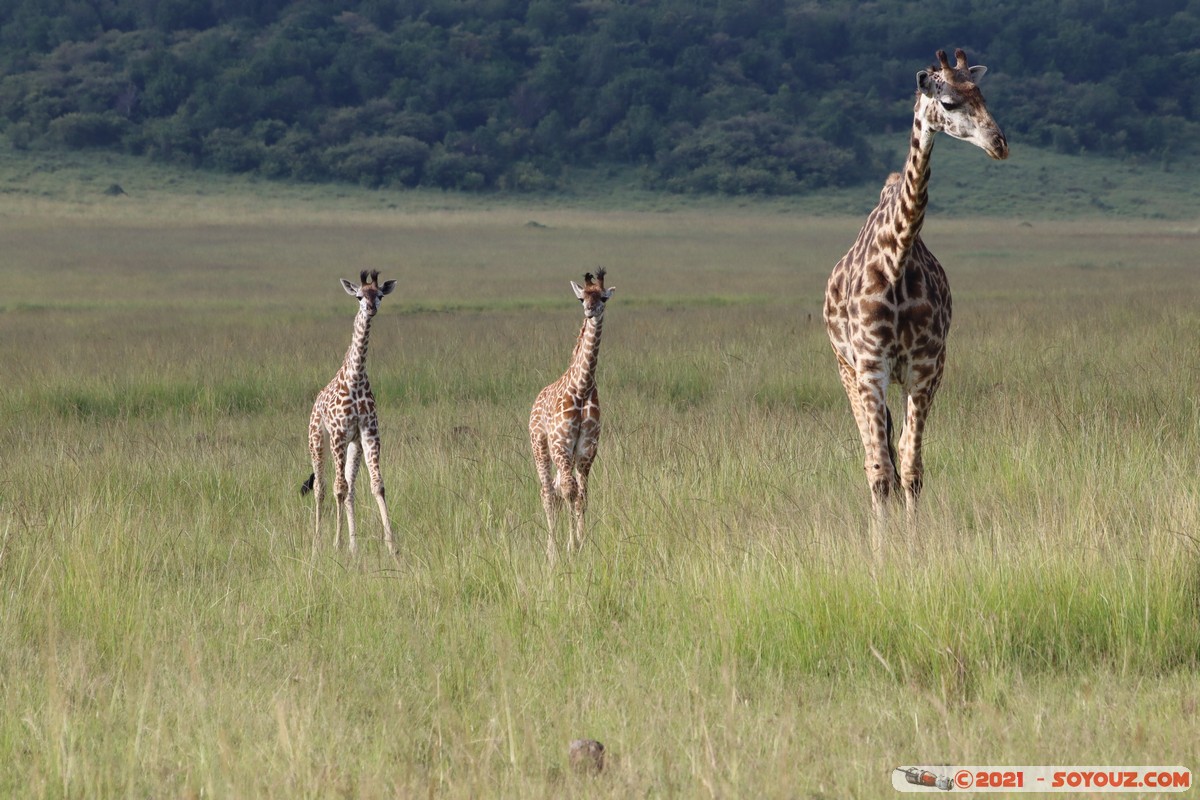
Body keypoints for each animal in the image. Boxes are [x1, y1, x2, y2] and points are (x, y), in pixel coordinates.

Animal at [301, 269, 397, 554]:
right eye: (358, 296)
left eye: (379, 295)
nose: (370, 308)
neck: (355, 378)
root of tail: (315, 403)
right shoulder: (338, 435)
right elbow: (338, 489)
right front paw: (336, 542)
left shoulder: (368, 433)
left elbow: (377, 485)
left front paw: (392, 546)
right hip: (318, 441)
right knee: (322, 487)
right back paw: (318, 540)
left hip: (353, 445)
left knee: (351, 487)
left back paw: (354, 545)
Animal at [529, 269, 615, 561]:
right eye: (581, 298)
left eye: (603, 297)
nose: (590, 310)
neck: (582, 387)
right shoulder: (562, 445)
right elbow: (569, 491)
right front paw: (571, 547)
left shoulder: (587, 449)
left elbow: (582, 495)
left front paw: (582, 543)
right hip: (541, 447)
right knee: (548, 492)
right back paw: (551, 552)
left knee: (557, 491)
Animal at [823, 49, 1008, 522]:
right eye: (949, 103)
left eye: (981, 94)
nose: (999, 144)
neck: (896, 258)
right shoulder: (870, 366)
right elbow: (880, 470)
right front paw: (883, 540)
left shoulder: (926, 366)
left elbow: (911, 467)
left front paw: (913, 536)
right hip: (846, 367)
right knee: (873, 457)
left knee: (898, 450)